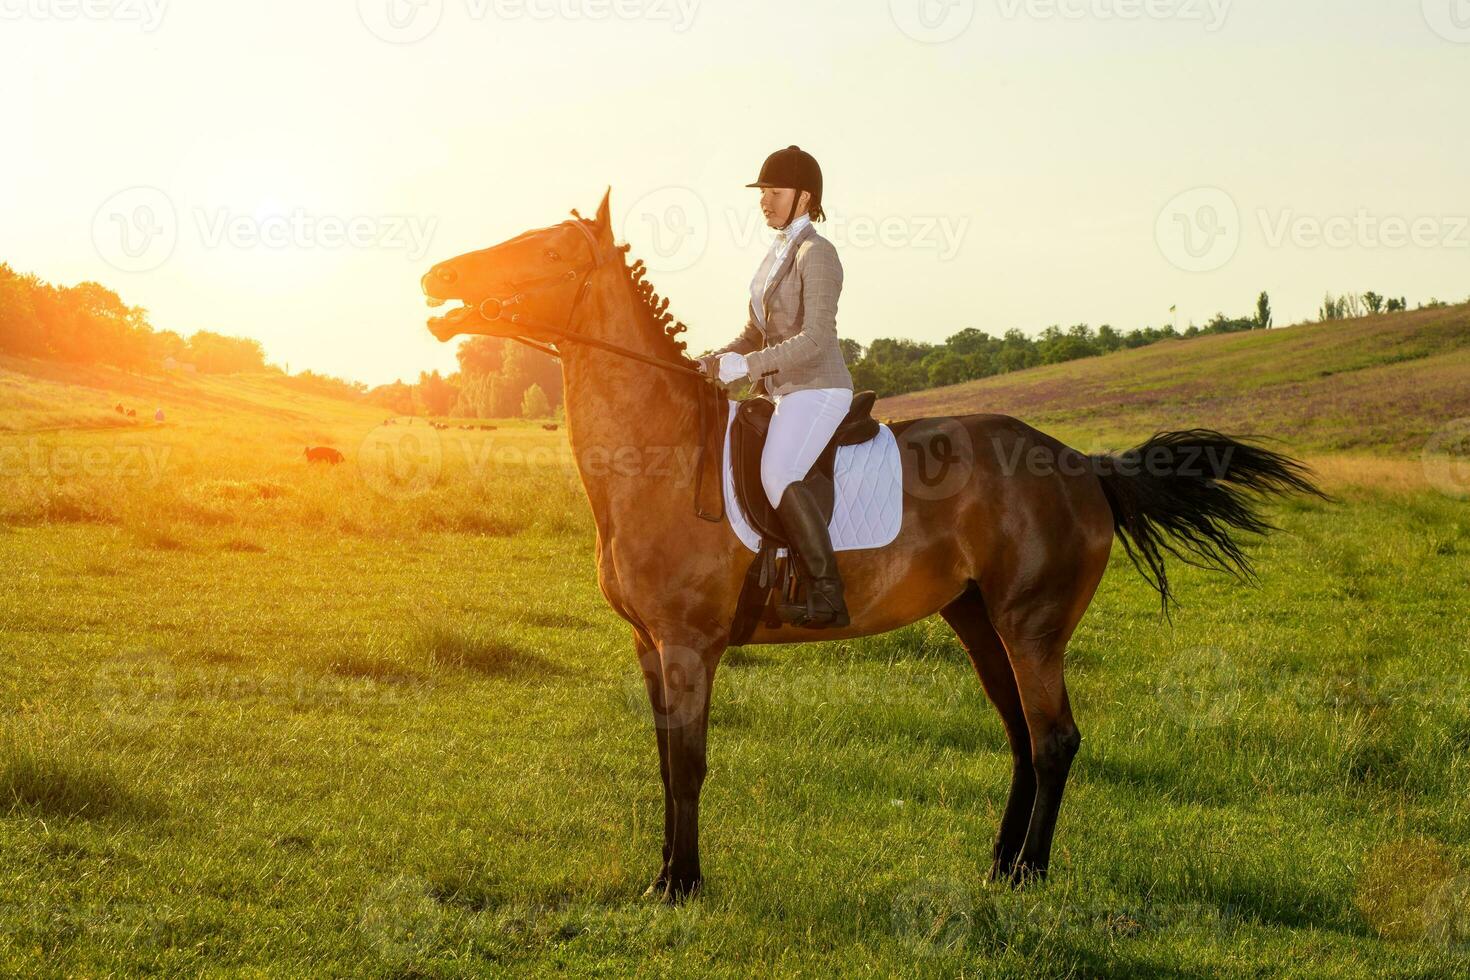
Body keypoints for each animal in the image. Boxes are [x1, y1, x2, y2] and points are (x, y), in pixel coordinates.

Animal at [417, 191, 1323, 905]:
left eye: (547, 250)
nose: (437, 281)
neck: (657, 453)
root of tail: (1081, 464)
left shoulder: (688, 645)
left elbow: (691, 762)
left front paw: (683, 886)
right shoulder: (650, 646)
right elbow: (667, 760)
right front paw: (666, 875)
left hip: (1032, 627)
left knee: (1055, 739)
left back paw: (1030, 873)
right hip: (978, 621)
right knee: (1021, 738)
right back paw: (998, 866)